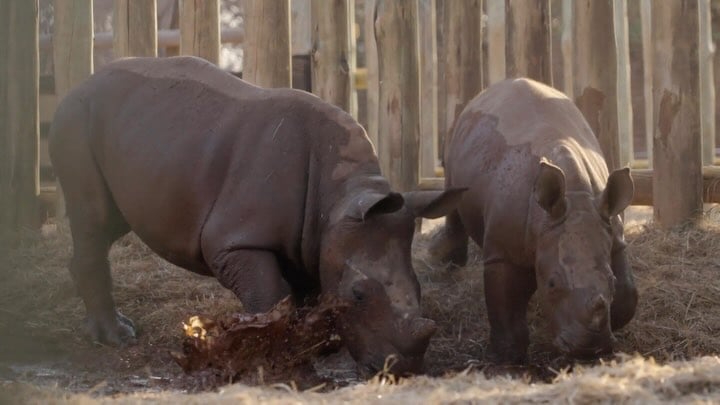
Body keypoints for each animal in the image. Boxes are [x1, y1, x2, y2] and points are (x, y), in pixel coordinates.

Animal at [49, 56, 465, 375]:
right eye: (359, 295)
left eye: (420, 288)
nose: (402, 369)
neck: (339, 198)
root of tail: (76, 86)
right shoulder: (235, 241)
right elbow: (270, 297)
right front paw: (278, 364)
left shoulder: (310, 244)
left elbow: (303, 303)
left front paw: (306, 357)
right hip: (76, 120)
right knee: (93, 219)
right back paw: (116, 338)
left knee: (110, 224)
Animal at [429, 78, 638, 363]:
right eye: (551, 284)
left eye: (611, 281)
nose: (588, 350)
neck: (575, 197)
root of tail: (486, 92)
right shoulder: (503, 252)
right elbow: (504, 303)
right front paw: (508, 357)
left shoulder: (612, 232)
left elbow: (628, 293)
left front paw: (614, 320)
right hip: (455, 138)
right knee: (453, 190)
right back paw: (447, 262)